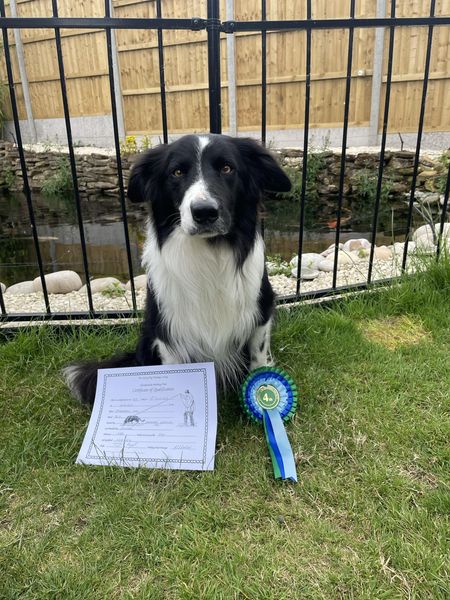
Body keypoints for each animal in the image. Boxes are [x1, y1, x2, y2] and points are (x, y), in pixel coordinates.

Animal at [64, 134, 291, 405]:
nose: (204, 213)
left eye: (227, 168)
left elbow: (258, 360)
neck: (209, 252)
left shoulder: (260, 312)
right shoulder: (168, 329)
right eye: (177, 172)